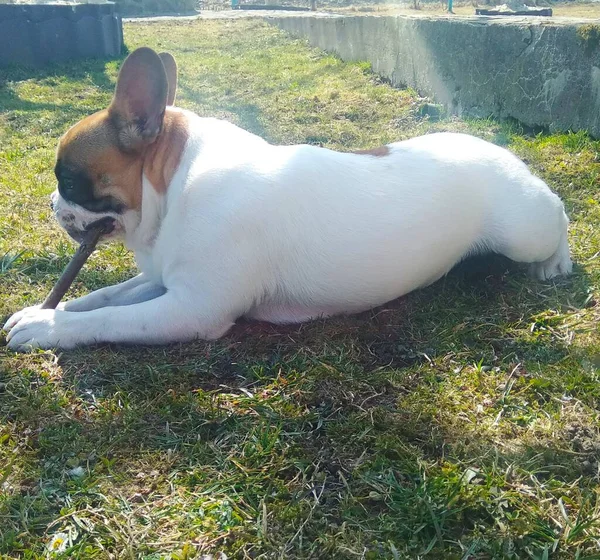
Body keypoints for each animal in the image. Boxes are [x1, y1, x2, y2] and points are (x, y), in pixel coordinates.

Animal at [3, 48, 572, 352]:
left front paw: (50, 325)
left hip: (523, 231)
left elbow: (110, 320)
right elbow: (105, 296)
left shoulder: (191, 307)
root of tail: (497, 148)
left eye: (67, 179)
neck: (174, 182)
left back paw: (556, 263)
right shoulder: (166, 280)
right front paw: (46, 308)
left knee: (559, 214)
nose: (51, 205)